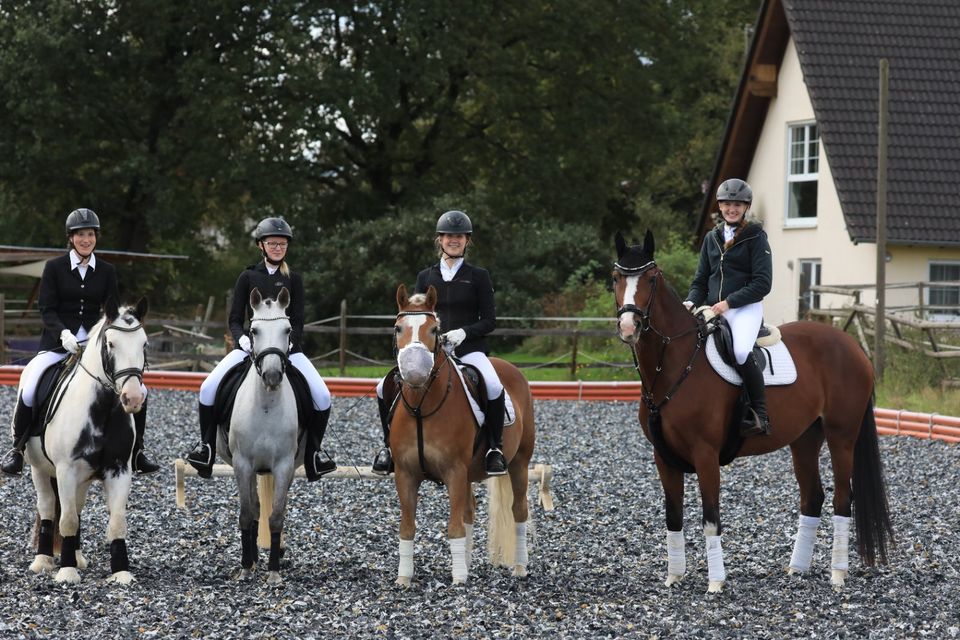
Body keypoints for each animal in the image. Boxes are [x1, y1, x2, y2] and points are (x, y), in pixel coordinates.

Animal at [23, 298, 150, 584]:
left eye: (144, 344)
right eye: (111, 344)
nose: (133, 398)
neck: (102, 410)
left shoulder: (119, 470)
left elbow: (117, 521)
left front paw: (121, 573)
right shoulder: (66, 470)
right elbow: (67, 519)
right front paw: (67, 572)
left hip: (81, 479)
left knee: (77, 508)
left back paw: (78, 557)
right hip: (40, 469)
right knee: (48, 509)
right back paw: (43, 561)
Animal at [218, 288, 302, 584]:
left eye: (287, 330)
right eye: (253, 330)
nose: (273, 375)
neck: (266, 405)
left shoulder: (284, 466)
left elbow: (276, 516)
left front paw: (274, 571)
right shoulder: (242, 464)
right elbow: (246, 514)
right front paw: (245, 567)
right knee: (254, 509)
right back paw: (252, 559)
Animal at [390, 284, 540, 584]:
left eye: (434, 330)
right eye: (399, 328)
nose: (414, 373)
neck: (422, 406)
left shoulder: (454, 471)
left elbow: (454, 526)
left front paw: (458, 579)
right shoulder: (405, 474)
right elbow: (407, 527)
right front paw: (404, 578)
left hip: (519, 463)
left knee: (518, 510)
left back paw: (519, 567)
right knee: (470, 510)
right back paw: (468, 564)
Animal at [616, 231, 892, 596]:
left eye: (650, 278)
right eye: (616, 277)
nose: (628, 326)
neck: (676, 362)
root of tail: (853, 346)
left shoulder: (705, 454)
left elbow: (711, 518)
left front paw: (715, 582)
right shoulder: (663, 457)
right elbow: (673, 517)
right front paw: (674, 577)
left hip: (841, 437)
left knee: (842, 499)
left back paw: (837, 574)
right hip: (805, 439)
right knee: (812, 497)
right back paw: (796, 570)